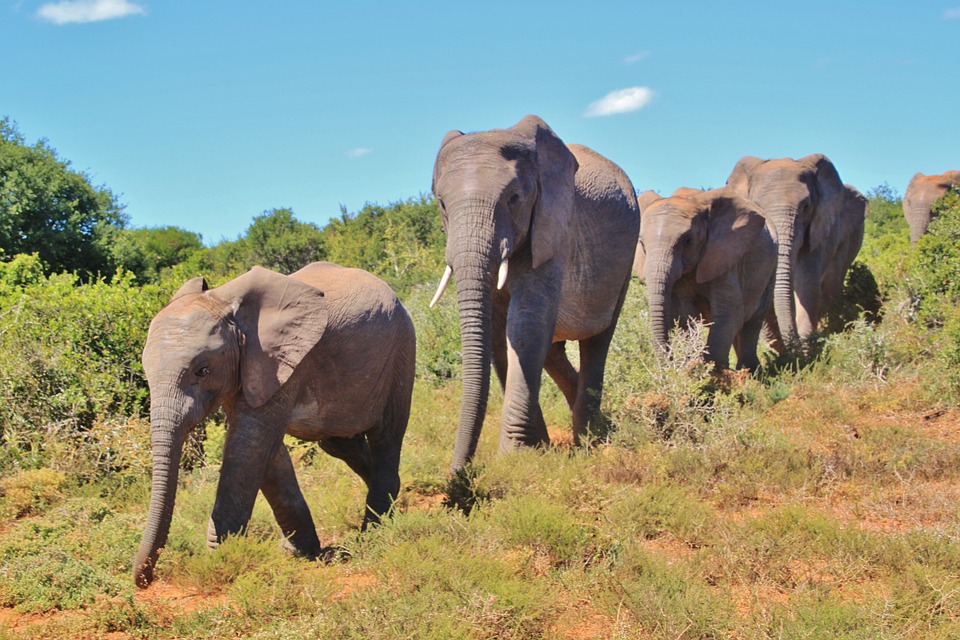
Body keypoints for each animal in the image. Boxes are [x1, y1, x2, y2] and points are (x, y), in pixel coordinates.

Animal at [133, 262, 415, 588]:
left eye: (202, 370)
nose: (145, 580)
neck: (225, 303)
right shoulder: (251, 369)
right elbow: (266, 455)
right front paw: (298, 552)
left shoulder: (282, 361)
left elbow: (249, 447)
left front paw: (222, 560)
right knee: (338, 443)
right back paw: (396, 500)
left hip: (401, 349)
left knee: (386, 435)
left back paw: (373, 531)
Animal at [430, 115, 640, 471]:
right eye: (442, 203)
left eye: (514, 198)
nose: (458, 474)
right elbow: (498, 334)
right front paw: (537, 448)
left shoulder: (553, 227)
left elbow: (525, 324)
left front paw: (516, 456)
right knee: (553, 350)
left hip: (625, 257)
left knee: (597, 340)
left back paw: (590, 437)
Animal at [639, 187, 778, 370]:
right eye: (642, 244)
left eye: (688, 241)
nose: (669, 364)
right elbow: (683, 314)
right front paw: (691, 367)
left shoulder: (723, 255)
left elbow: (730, 311)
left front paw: (712, 372)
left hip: (771, 269)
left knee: (752, 321)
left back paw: (750, 371)